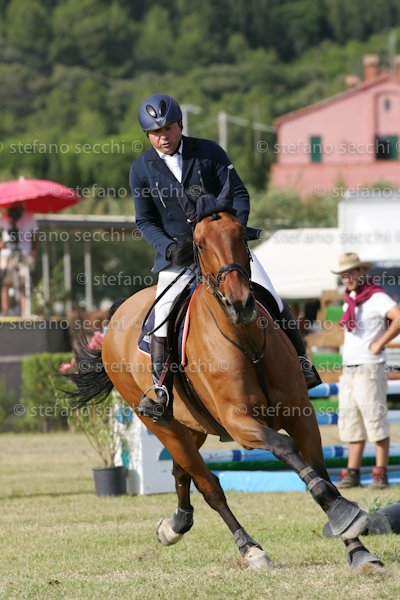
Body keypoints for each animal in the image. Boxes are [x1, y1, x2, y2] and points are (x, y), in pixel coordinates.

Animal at [70, 209, 383, 574]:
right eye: (200, 245)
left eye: (240, 237)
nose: (240, 302)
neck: (246, 339)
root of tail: (117, 314)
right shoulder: (241, 424)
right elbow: (285, 447)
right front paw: (342, 513)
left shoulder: (301, 415)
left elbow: (320, 471)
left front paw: (356, 546)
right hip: (159, 423)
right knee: (208, 484)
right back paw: (249, 547)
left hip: (193, 426)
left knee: (182, 470)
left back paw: (174, 525)